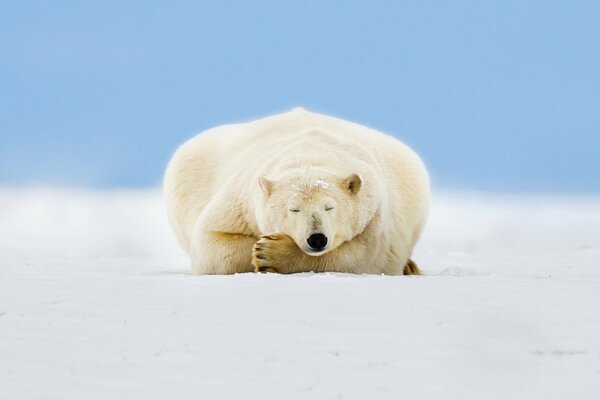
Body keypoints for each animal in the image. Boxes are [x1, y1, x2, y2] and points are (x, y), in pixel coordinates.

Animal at [162, 108, 428, 274]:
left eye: (329, 207)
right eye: (294, 209)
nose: (317, 238)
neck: (309, 153)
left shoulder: (375, 212)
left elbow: (361, 257)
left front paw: (272, 253)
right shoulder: (240, 202)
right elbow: (212, 244)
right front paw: (260, 249)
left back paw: (410, 267)